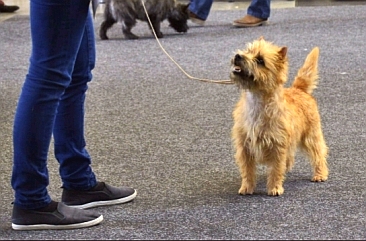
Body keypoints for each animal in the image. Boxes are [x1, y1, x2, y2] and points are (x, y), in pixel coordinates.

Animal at [230, 37, 328, 196]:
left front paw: (275, 188)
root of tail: (299, 89)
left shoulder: (277, 145)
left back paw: (320, 174)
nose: (238, 56)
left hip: (311, 136)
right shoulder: (244, 146)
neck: (257, 101)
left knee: (318, 153)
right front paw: (247, 187)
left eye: (260, 60)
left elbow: (276, 169)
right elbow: (247, 170)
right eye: (248, 51)